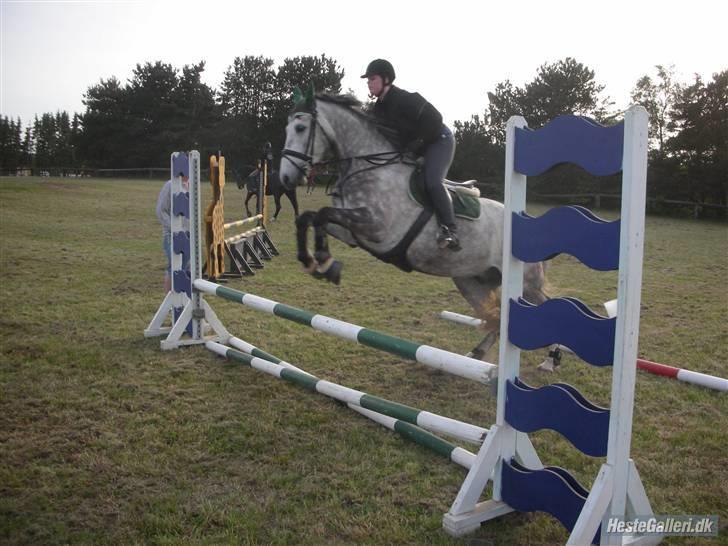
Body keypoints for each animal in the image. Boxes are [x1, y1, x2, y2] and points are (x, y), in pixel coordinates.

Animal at [282, 94, 556, 362]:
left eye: (300, 127)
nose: (285, 178)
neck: (370, 169)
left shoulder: (376, 228)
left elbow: (322, 214)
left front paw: (323, 260)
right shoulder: (352, 233)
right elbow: (310, 217)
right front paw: (317, 262)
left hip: (526, 283)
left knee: (543, 305)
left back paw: (551, 358)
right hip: (471, 281)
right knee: (498, 318)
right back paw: (477, 353)